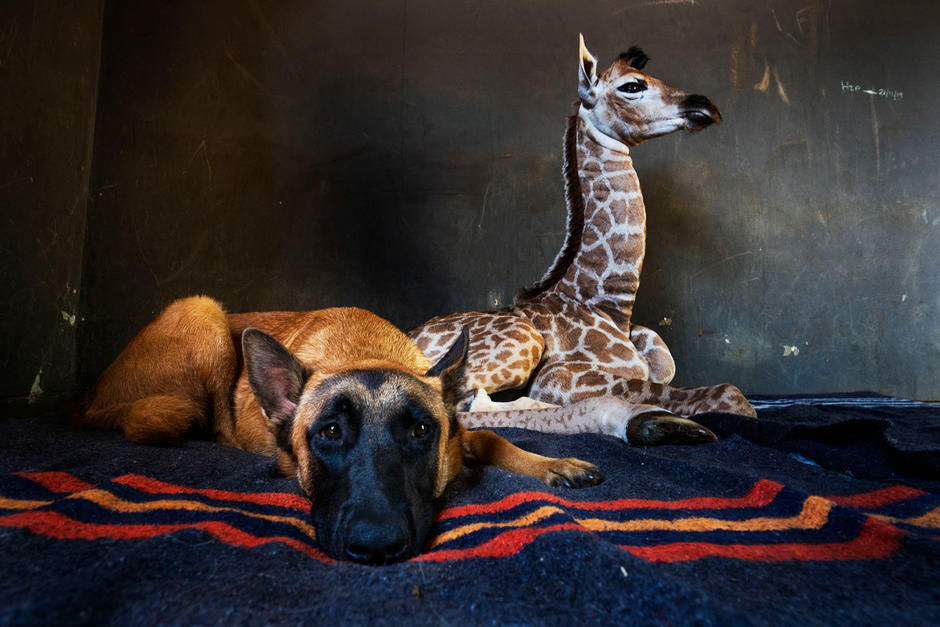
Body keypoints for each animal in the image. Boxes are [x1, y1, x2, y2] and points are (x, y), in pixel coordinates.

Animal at [410, 35, 755, 444]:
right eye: (632, 86)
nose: (704, 106)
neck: (609, 305)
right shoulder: (557, 376)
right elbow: (728, 394)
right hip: (522, 341)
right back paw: (653, 422)